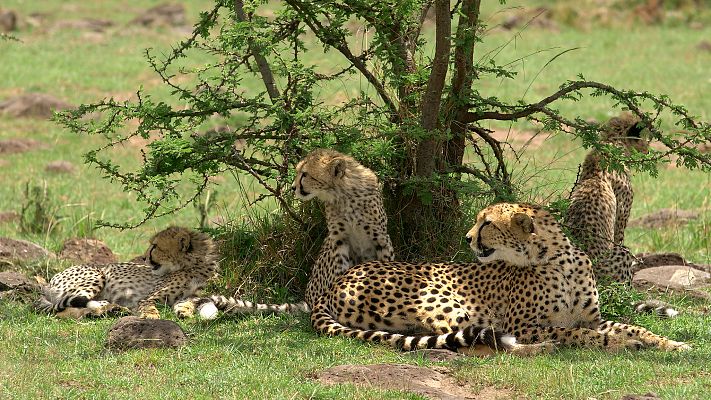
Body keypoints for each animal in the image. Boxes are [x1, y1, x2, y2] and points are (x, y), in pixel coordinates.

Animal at [36, 227, 218, 320]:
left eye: (155, 246)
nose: (144, 257)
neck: (193, 265)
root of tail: (48, 283)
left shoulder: (192, 295)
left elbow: (186, 302)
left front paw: (185, 311)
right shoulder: (147, 298)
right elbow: (148, 305)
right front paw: (151, 316)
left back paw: (115, 309)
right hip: (97, 275)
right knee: (66, 308)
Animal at [177, 147, 392, 318]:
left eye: (305, 174)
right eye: (298, 173)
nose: (293, 187)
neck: (343, 193)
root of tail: (308, 299)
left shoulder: (381, 238)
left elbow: (385, 264)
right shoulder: (339, 240)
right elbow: (340, 269)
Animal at [312, 203, 688, 354]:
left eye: (487, 223)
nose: (467, 238)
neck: (559, 259)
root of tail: (334, 284)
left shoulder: (593, 319)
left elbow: (633, 327)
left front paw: (672, 344)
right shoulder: (525, 324)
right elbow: (577, 333)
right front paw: (621, 345)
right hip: (443, 301)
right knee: (481, 341)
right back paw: (541, 349)